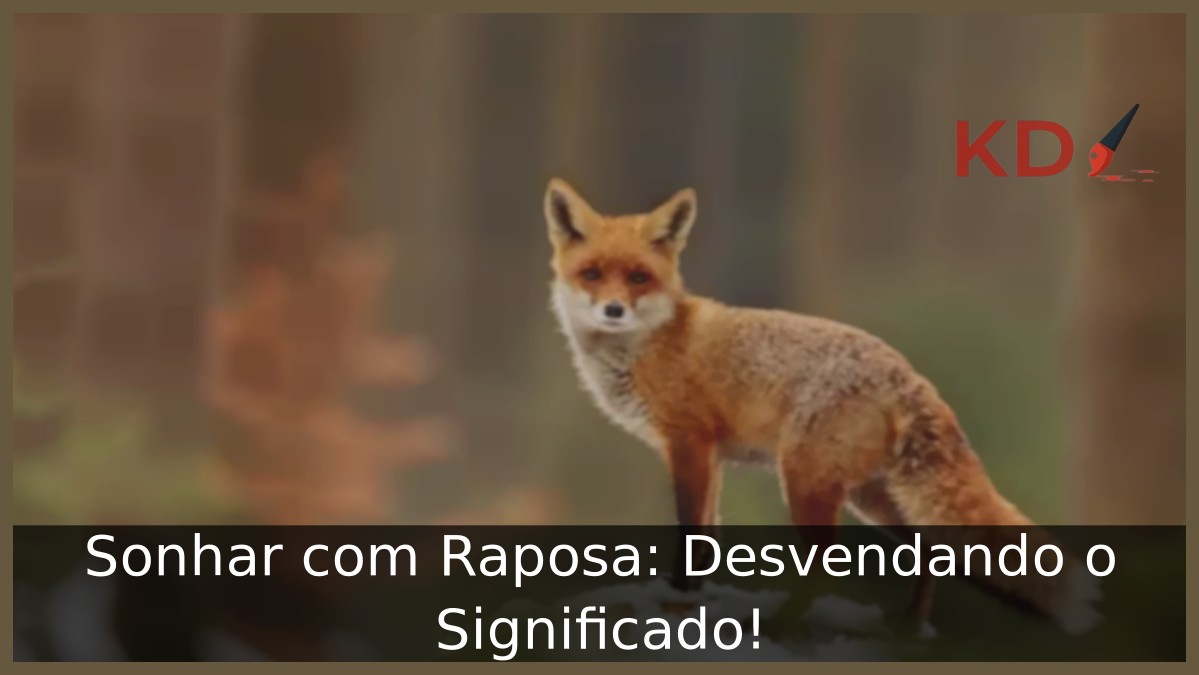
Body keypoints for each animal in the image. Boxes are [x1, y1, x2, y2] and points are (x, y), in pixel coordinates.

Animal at [543, 177, 1101, 636]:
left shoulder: (689, 444)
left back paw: (781, 626)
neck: (649, 344)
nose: (614, 309)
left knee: (829, 568)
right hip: (871, 498)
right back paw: (908, 626)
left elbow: (692, 534)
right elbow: (709, 535)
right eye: (592, 273)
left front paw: (681, 599)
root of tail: (910, 373)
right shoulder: (710, 457)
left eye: (638, 277)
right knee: (929, 550)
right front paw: (694, 599)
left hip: (806, 483)